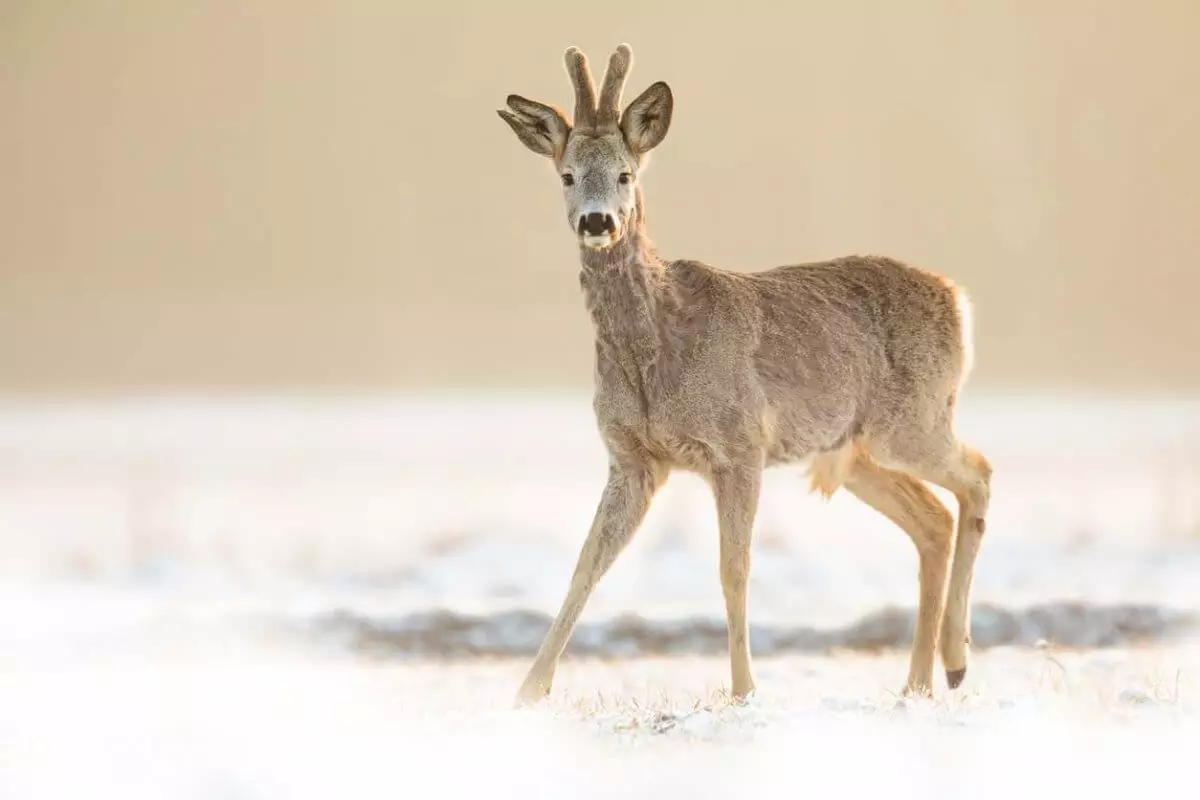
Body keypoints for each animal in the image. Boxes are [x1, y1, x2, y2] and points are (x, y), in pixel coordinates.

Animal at [496, 45, 993, 705]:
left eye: (626, 174)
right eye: (567, 175)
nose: (598, 222)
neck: (656, 350)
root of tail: (958, 298)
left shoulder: (740, 444)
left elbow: (734, 570)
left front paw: (743, 691)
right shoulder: (633, 458)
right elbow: (586, 565)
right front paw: (528, 691)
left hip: (913, 420)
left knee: (979, 475)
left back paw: (956, 657)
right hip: (854, 450)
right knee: (934, 520)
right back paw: (921, 683)